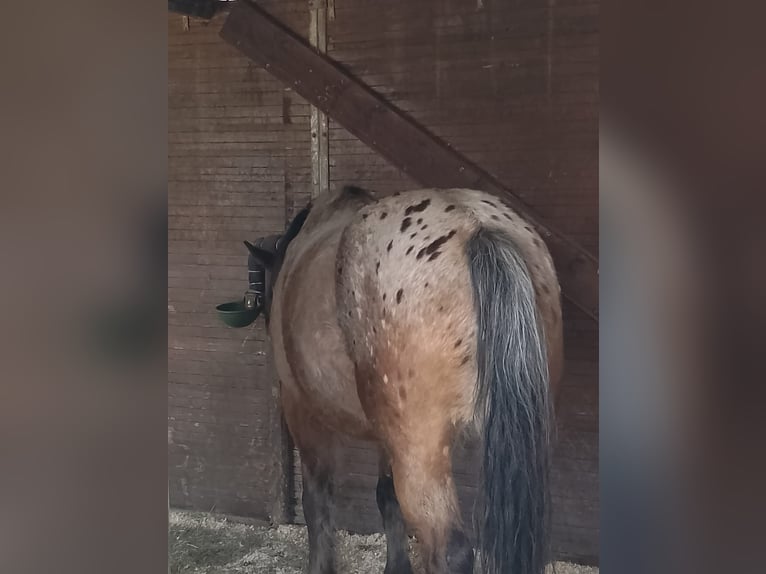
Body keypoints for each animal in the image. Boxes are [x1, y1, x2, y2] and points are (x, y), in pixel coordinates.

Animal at [244, 185, 563, 574]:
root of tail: (474, 226)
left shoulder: (301, 410)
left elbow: (317, 498)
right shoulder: (386, 436)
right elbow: (386, 497)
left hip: (420, 450)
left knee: (450, 549)